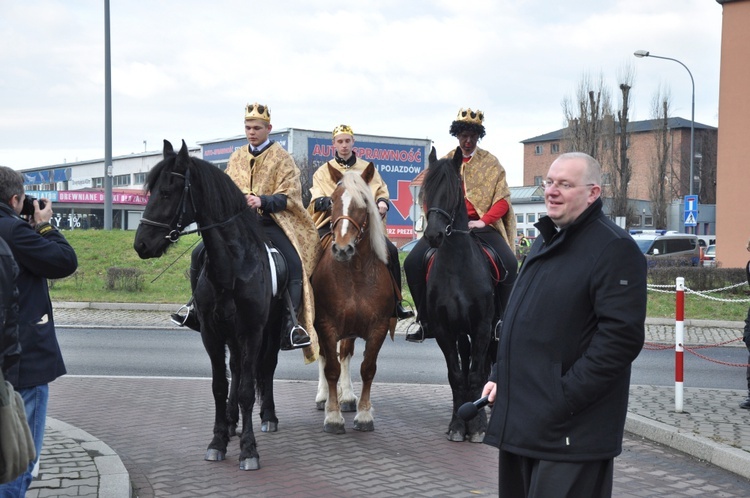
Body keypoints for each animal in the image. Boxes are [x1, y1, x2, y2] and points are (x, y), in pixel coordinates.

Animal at [134, 140, 280, 470]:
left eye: (166, 192)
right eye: (150, 191)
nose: (141, 244)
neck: (232, 267)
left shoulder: (252, 332)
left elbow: (247, 390)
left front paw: (249, 450)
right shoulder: (212, 333)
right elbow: (219, 386)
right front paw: (218, 441)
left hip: (270, 332)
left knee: (265, 369)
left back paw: (268, 417)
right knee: (236, 369)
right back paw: (231, 422)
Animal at [312, 162, 396, 432]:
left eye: (364, 203)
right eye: (332, 201)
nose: (342, 248)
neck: (355, 273)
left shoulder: (379, 327)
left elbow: (367, 368)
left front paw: (364, 414)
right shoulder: (325, 324)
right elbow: (330, 368)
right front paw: (333, 416)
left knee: (346, 354)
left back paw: (348, 397)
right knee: (325, 357)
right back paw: (323, 397)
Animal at [424, 147, 500, 440]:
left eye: (454, 188)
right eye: (426, 188)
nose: (433, 235)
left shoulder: (482, 327)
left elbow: (478, 374)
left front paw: (477, 427)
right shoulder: (444, 329)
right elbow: (456, 375)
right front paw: (457, 425)